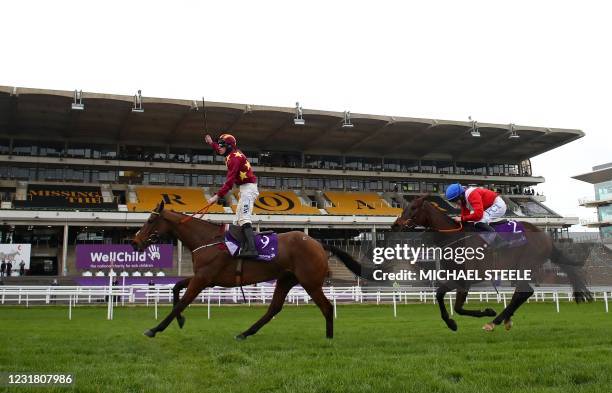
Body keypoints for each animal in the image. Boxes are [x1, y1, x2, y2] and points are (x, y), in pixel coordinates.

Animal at [131, 201, 360, 338]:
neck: (206, 240)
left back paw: (329, 338)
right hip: (287, 279)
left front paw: (155, 329)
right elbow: (176, 288)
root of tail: (318, 243)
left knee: (327, 307)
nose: (135, 242)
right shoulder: (204, 277)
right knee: (274, 308)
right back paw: (245, 333)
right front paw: (180, 321)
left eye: (150, 220)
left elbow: (182, 302)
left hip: (310, 282)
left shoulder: (203, 278)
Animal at [392, 196, 592, 330]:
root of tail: (547, 238)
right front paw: (450, 323)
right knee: (521, 293)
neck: (454, 238)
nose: (395, 225)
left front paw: (487, 312)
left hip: (526, 265)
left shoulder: (465, 279)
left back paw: (494, 321)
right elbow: (439, 295)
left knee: (525, 291)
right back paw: (506, 319)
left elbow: (458, 307)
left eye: (413, 208)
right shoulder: (454, 277)